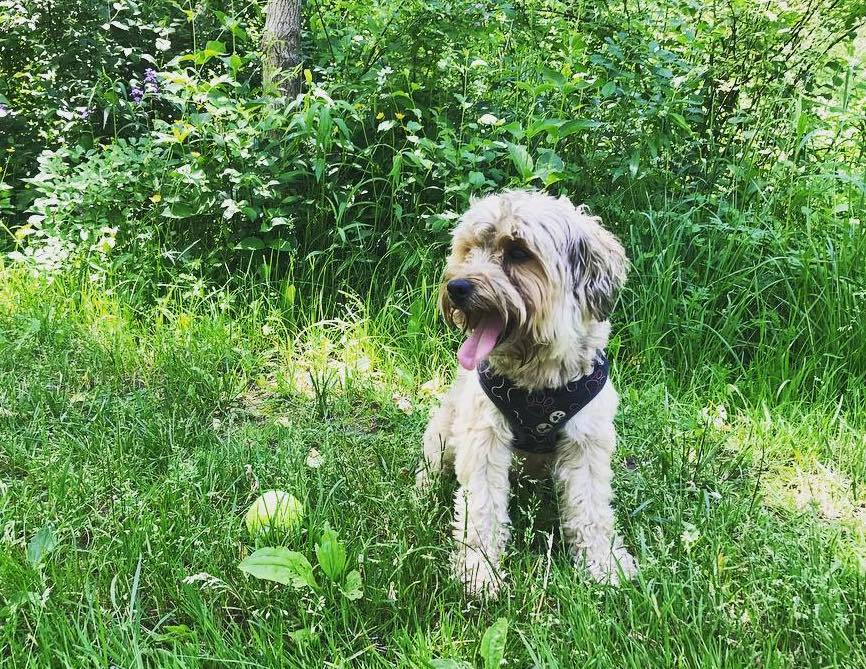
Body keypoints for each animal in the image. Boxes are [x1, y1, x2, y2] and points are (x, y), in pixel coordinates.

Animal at [416, 189, 636, 600]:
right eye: (469, 249)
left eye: (518, 253)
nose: (456, 287)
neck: (538, 381)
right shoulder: (483, 437)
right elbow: (482, 509)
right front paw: (479, 572)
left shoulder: (586, 441)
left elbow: (591, 509)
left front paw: (603, 565)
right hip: (443, 435)